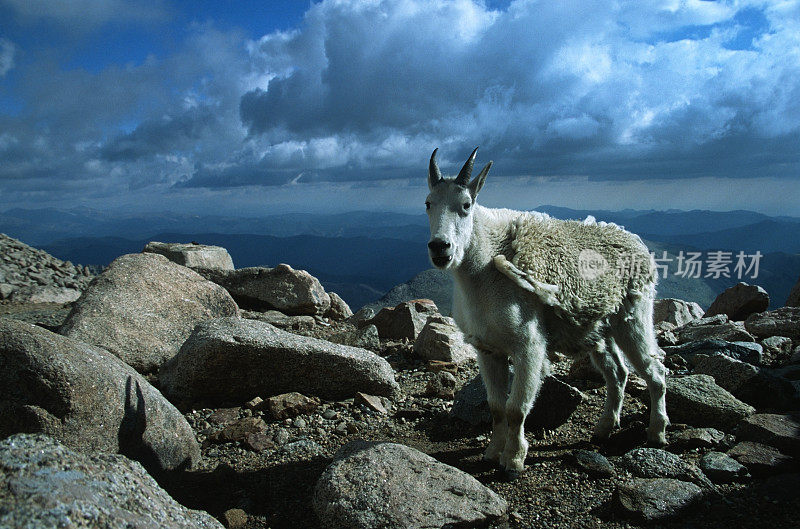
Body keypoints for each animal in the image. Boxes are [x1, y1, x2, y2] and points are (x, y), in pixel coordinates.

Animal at [424, 146, 668, 476]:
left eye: (465, 205)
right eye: (428, 204)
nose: (440, 248)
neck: (483, 273)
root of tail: (637, 243)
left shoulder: (529, 345)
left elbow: (516, 409)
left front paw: (514, 460)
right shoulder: (488, 349)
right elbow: (496, 407)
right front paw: (491, 452)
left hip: (634, 316)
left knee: (655, 370)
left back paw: (657, 432)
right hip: (599, 328)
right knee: (617, 372)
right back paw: (604, 427)